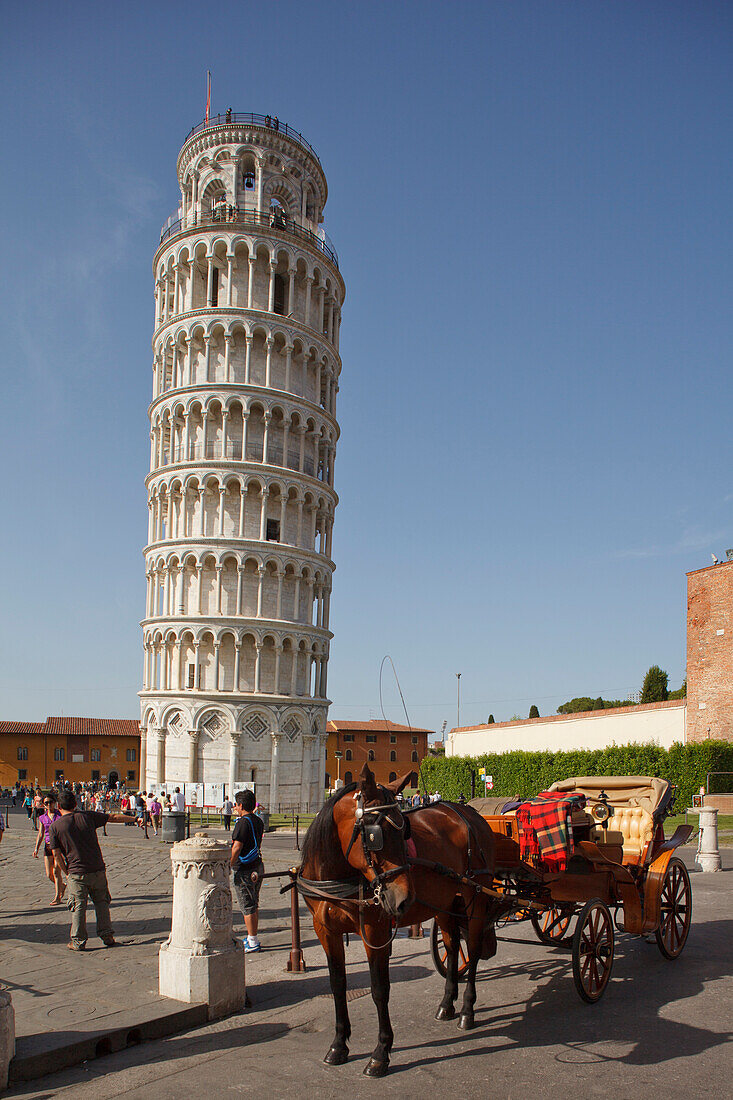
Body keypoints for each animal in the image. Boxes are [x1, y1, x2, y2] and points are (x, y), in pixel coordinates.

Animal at [297, 765, 497, 1073]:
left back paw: (466, 1009)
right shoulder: (325, 931)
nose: (404, 899)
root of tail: (469, 812)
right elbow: (337, 985)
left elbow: (379, 989)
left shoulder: (375, 931)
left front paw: (381, 1051)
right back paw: (447, 1003)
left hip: (475, 895)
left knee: (472, 950)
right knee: (453, 947)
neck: (336, 874)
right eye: (374, 835)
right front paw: (339, 1044)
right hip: (445, 902)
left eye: (404, 832)